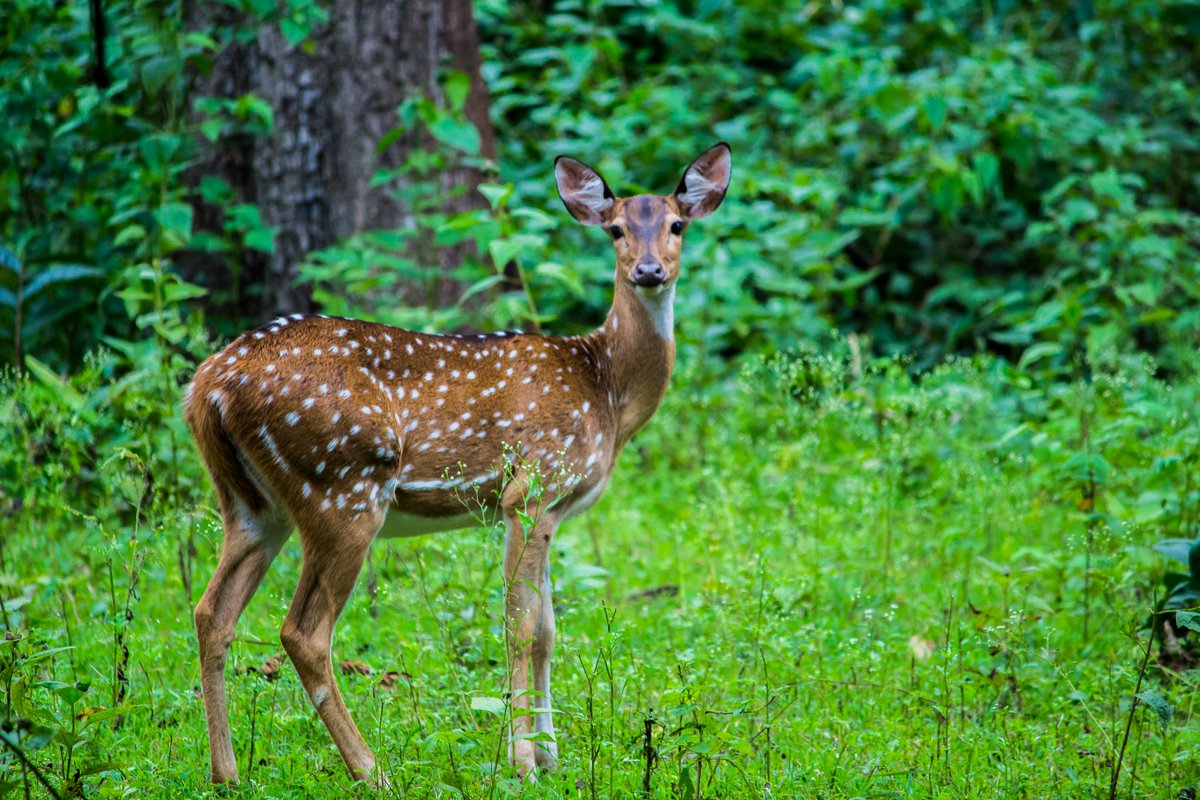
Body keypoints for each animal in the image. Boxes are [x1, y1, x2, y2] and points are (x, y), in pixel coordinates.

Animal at [183, 142, 731, 785]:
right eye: (616, 229)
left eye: (676, 225)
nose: (648, 271)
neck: (607, 390)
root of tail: (207, 388)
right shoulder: (531, 488)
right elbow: (521, 627)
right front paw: (523, 762)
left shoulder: (552, 508)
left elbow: (549, 630)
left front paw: (552, 755)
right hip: (340, 487)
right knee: (304, 632)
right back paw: (371, 770)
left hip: (252, 505)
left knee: (211, 613)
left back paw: (227, 773)